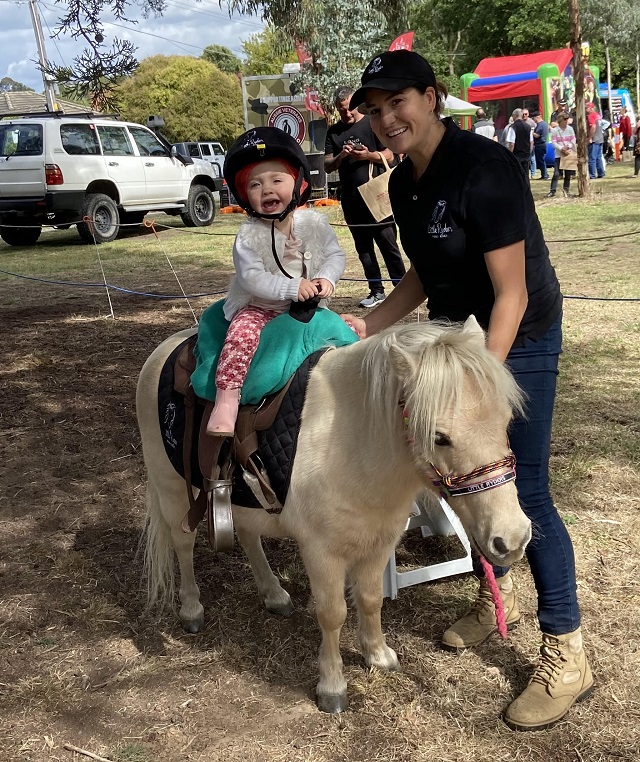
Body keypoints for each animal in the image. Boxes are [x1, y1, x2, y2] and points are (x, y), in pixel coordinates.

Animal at [138, 314, 532, 712]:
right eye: (440, 437)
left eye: (506, 420)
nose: (513, 538)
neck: (350, 441)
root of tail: (167, 347)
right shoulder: (321, 552)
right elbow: (332, 614)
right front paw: (332, 686)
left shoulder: (380, 541)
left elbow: (370, 600)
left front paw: (378, 655)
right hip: (172, 490)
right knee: (183, 546)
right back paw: (191, 609)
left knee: (249, 536)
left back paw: (273, 594)